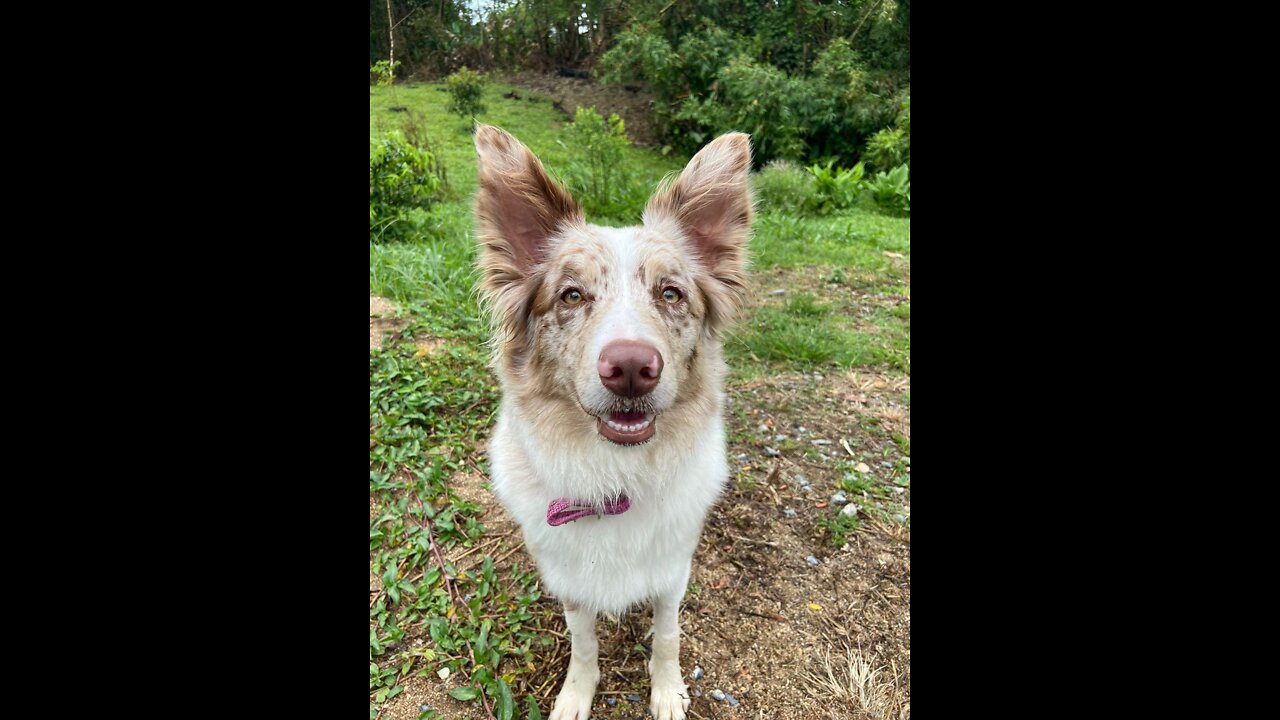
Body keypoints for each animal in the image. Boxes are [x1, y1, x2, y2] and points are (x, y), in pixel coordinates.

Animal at [476, 124, 752, 717]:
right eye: (571, 295)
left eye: (670, 293)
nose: (630, 368)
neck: (616, 475)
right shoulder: (570, 579)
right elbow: (583, 644)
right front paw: (577, 694)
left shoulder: (672, 572)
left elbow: (668, 635)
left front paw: (668, 692)